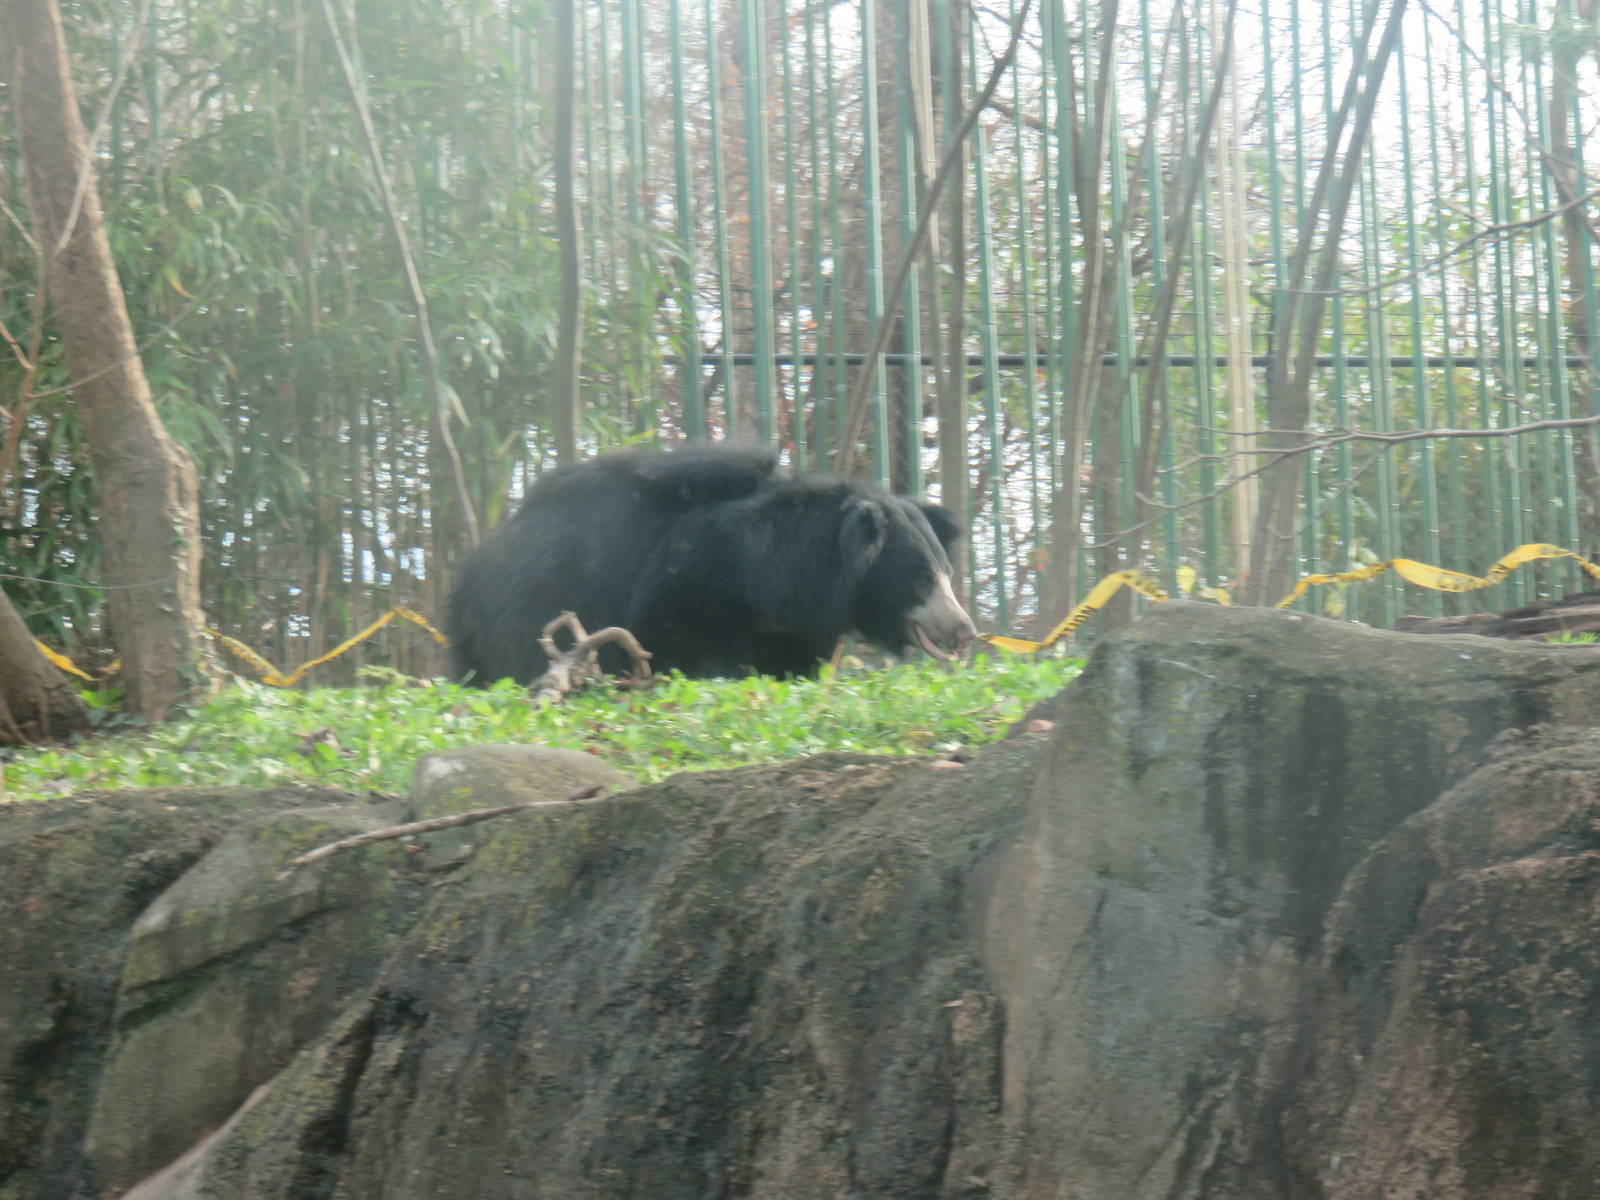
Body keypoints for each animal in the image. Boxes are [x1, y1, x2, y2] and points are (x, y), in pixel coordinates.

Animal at [445, 443, 975, 683]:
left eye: (946, 573)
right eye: (919, 579)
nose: (964, 630)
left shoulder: (794, 626)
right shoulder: (696, 580)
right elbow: (683, 645)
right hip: (530, 604)